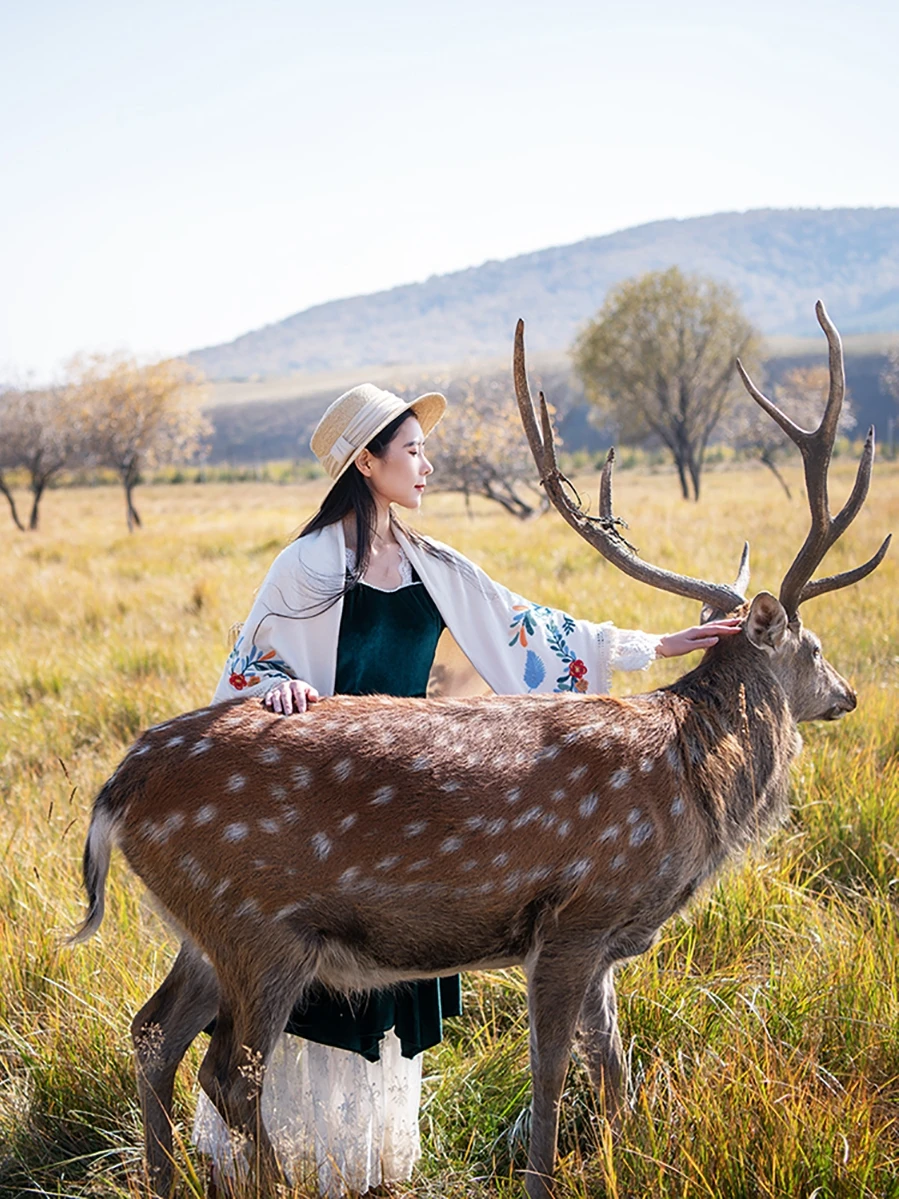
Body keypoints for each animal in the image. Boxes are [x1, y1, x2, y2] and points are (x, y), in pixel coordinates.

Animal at [70, 299, 887, 1199]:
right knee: (229, 1073)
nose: (847, 693)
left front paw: (625, 1159)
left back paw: (161, 1178)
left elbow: (615, 1068)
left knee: (153, 1032)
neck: (693, 786)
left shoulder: (602, 942)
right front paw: (547, 1178)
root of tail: (117, 787)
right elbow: (553, 1070)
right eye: (813, 647)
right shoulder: (575, 913)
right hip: (258, 924)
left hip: (202, 927)